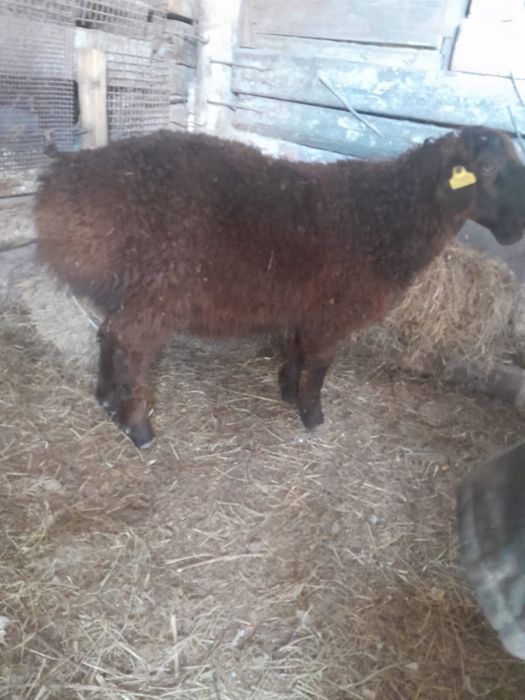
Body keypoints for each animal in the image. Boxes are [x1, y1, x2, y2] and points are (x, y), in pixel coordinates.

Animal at [35, 126, 525, 447]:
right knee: (128, 345)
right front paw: (312, 415)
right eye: (485, 167)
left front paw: (287, 390)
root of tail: (66, 176)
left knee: (107, 335)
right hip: (158, 291)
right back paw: (138, 428)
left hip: (133, 290)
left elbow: (298, 350)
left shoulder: (308, 305)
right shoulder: (332, 311)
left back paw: (105, 400)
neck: (384, 217)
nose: (517, 227)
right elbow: (320, 366)